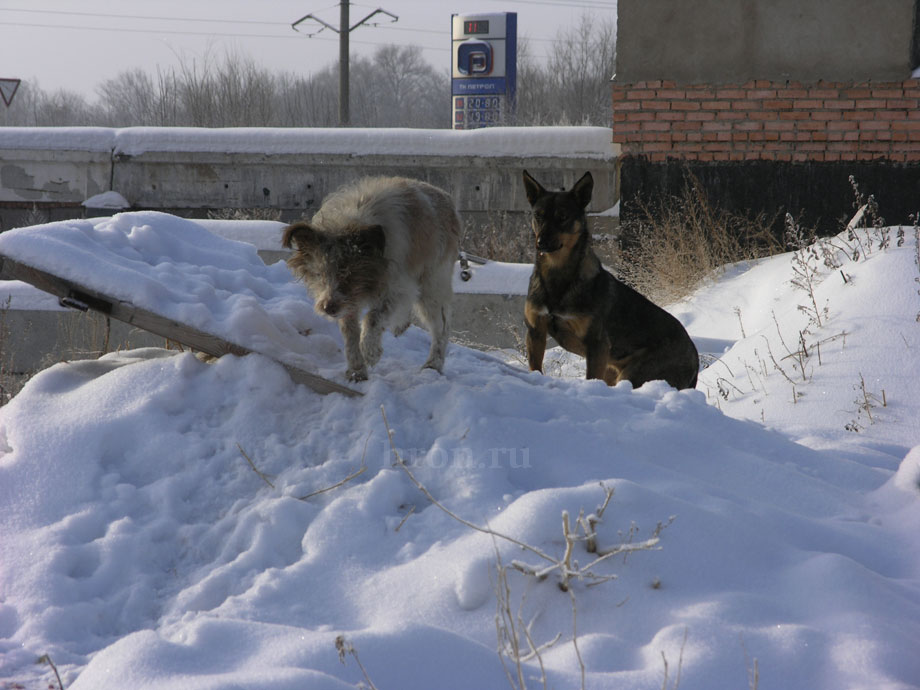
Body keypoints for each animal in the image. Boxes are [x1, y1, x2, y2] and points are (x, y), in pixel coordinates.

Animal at [524, 169, 696, 390]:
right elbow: (535, 367)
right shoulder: (535, 331)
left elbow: (591, 377)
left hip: (635, 373)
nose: (541, 242)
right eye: (538, 215)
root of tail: (695, 359)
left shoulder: (597, 345)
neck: (558, 276)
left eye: (562, 217)